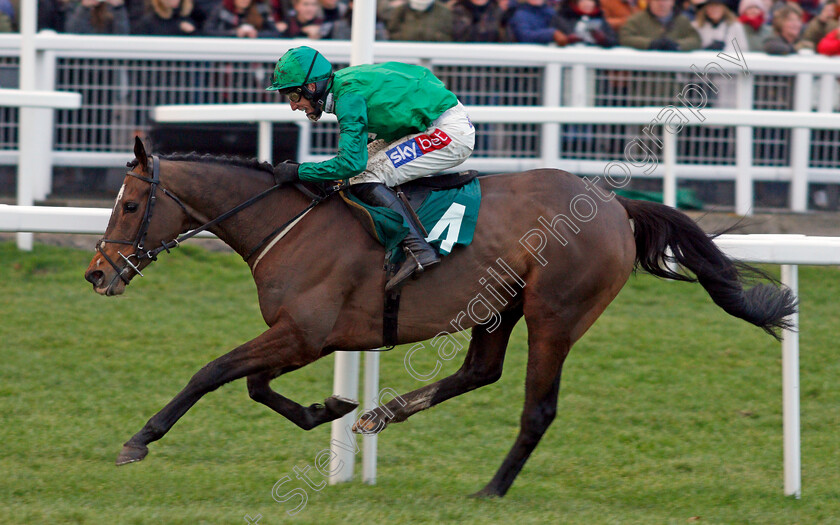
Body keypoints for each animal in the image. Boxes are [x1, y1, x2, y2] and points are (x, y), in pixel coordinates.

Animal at [83, 137, 796, 498]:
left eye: (128, 205)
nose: (96, 272)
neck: (290, 224)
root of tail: (616, 206)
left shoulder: (304, 333)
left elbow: (212, 372)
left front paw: (138, 440)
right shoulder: (303, 337)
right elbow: (255, 385)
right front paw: (331, 408)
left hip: (555, 312)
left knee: (538, 407)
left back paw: (491, 491)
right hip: (500, 305)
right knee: (480, 371)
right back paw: (381, 414)